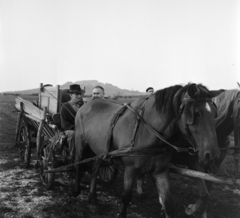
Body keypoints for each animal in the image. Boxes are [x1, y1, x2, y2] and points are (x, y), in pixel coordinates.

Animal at [72, 82, 221, 217]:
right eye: (196, 113)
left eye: (214, 114)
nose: (212, 154)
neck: (147, 132)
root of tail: (88, 103)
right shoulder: (130, 169)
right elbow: (126, 198)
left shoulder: (160, 171)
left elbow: (169, 203)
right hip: (81, 144)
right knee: (78, 165)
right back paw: (76, 191)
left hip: (101, 151)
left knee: (95, 169)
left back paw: (93, 200)